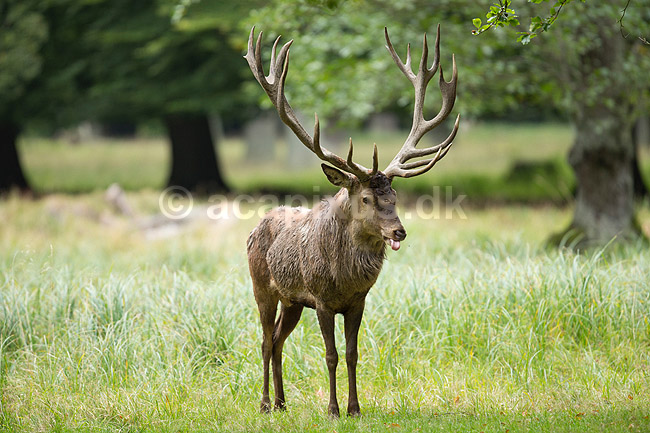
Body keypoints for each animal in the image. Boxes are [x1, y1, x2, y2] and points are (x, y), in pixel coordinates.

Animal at [244, 25, 459, 417]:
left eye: (394, 196)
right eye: (366, 199)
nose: (399, 231)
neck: (343, 278)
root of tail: (256, 225)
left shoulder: (358, 301)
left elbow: (352, 354)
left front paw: (355, 408)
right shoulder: (322, 300)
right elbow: (329, 355)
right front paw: (332, 409)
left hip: (292, 300)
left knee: (280, 339)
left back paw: (282, 402)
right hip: (262, 286)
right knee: (266, 341)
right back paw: (265, 403)